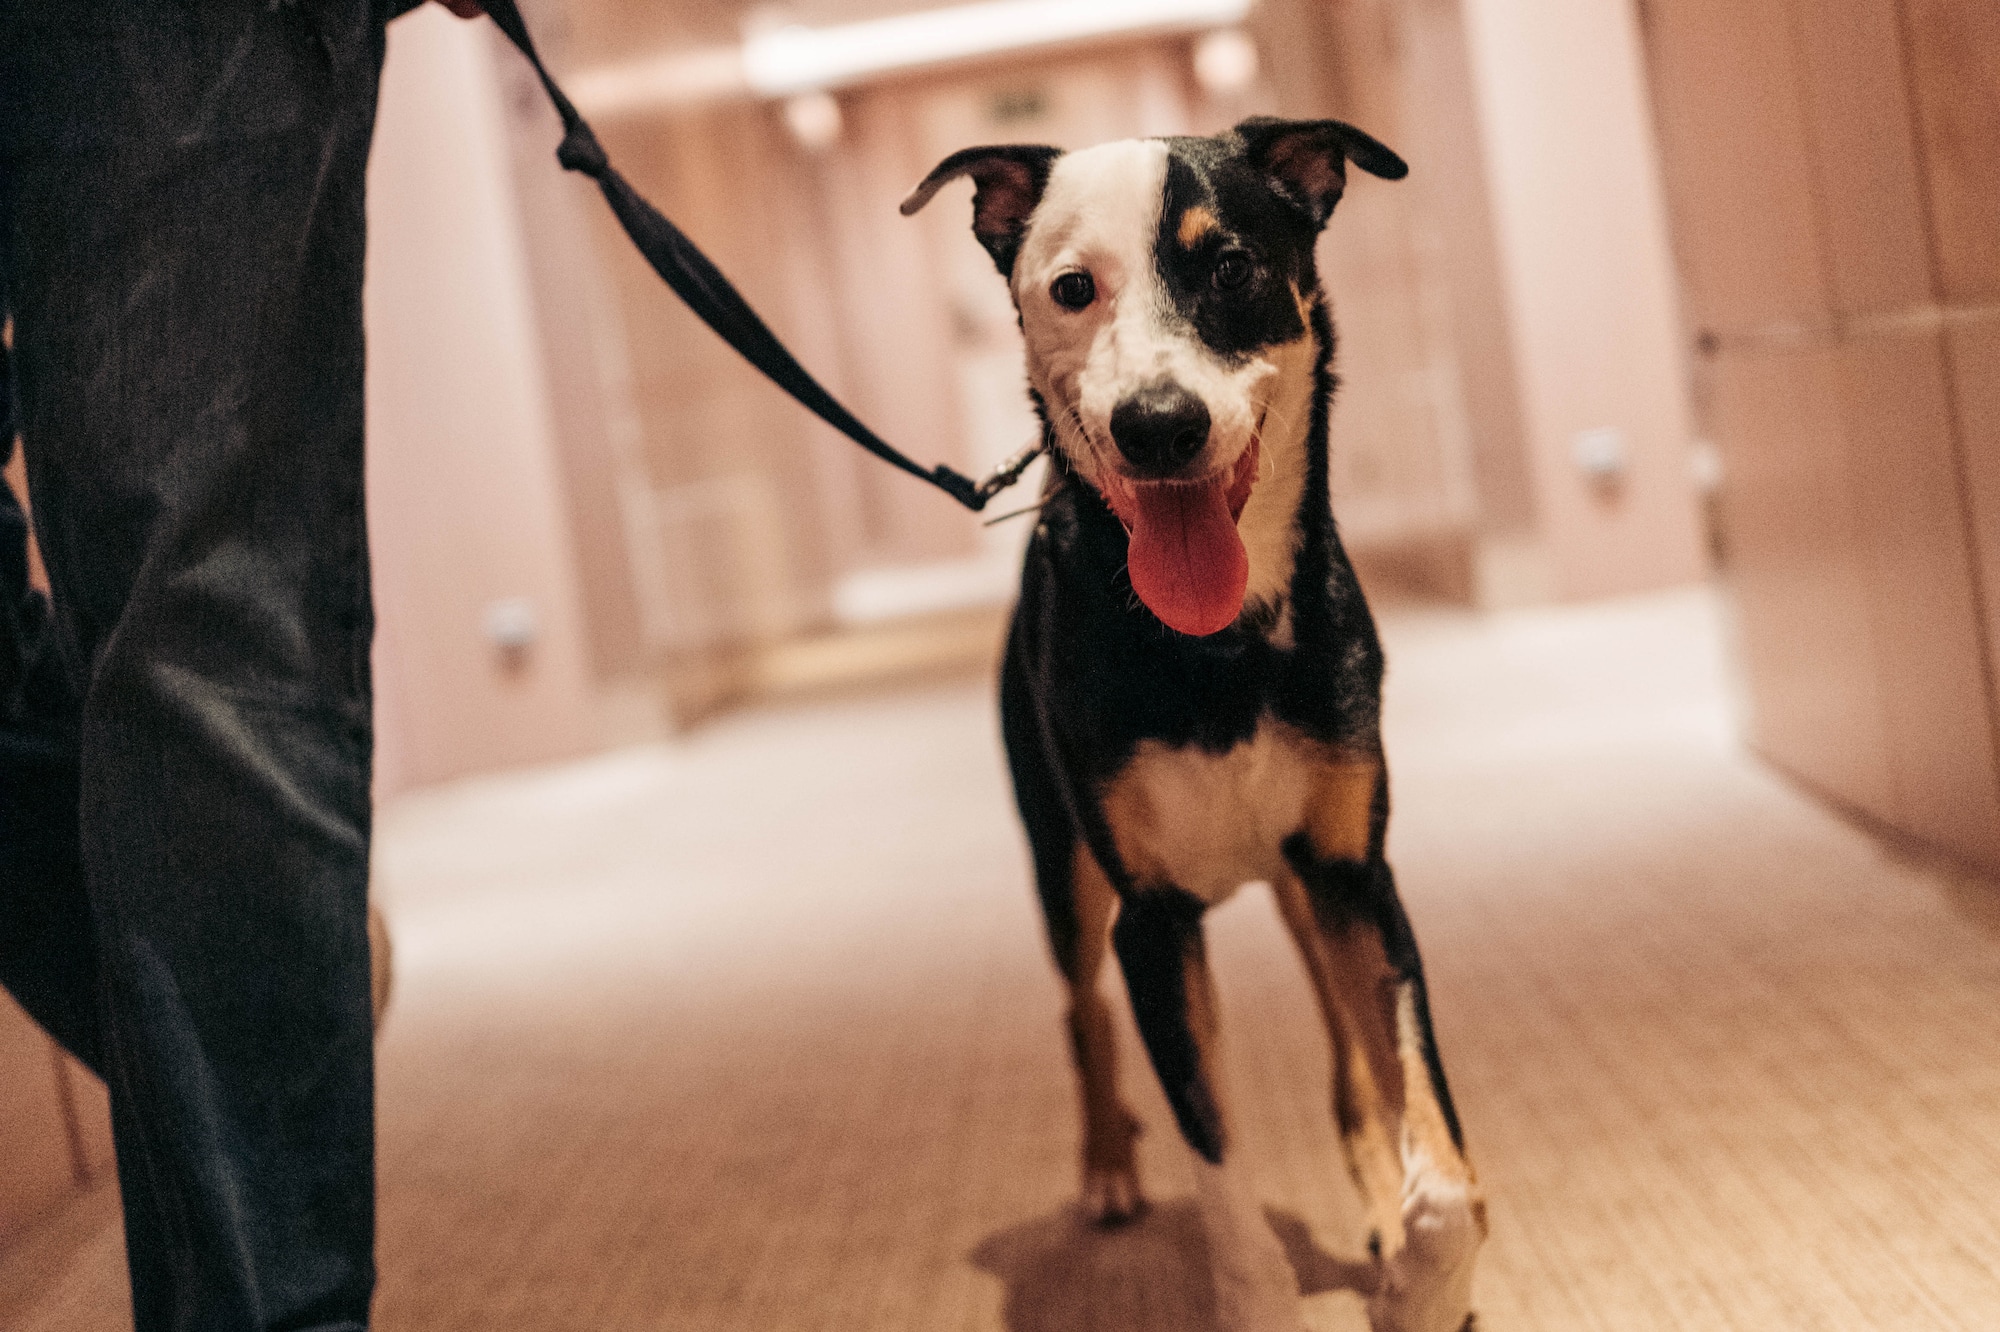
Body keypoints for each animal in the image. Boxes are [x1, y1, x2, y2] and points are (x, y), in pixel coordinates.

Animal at [901, 118, 1485, 1332]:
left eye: (1229, 268)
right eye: (1071, 288)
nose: (1157, 427)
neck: (1218, 649)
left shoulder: (1356, 876)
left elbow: (1438, 1156)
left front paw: (1421, 1286)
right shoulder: (1152, 921)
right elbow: (1215, 1156)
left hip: (1302, 891)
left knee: (1347, 1067)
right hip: (1062, 867)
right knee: (1079, 1013)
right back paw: (1109, 1171)